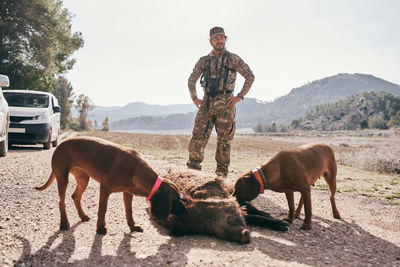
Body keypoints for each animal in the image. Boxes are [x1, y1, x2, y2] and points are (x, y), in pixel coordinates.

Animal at [35, 137, 187, 236]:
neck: (136, 169)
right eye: (176, 200)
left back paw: (82, 215)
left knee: (75, 196)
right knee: (61, 202)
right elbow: (102, 210)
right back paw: (64, 223)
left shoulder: (127, 193)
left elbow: (129, 211)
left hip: (84, 178)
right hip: (62, 178)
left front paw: (132, 226)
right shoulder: (105, 189)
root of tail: (59, 145)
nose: (185, 210)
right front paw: (101, 228)